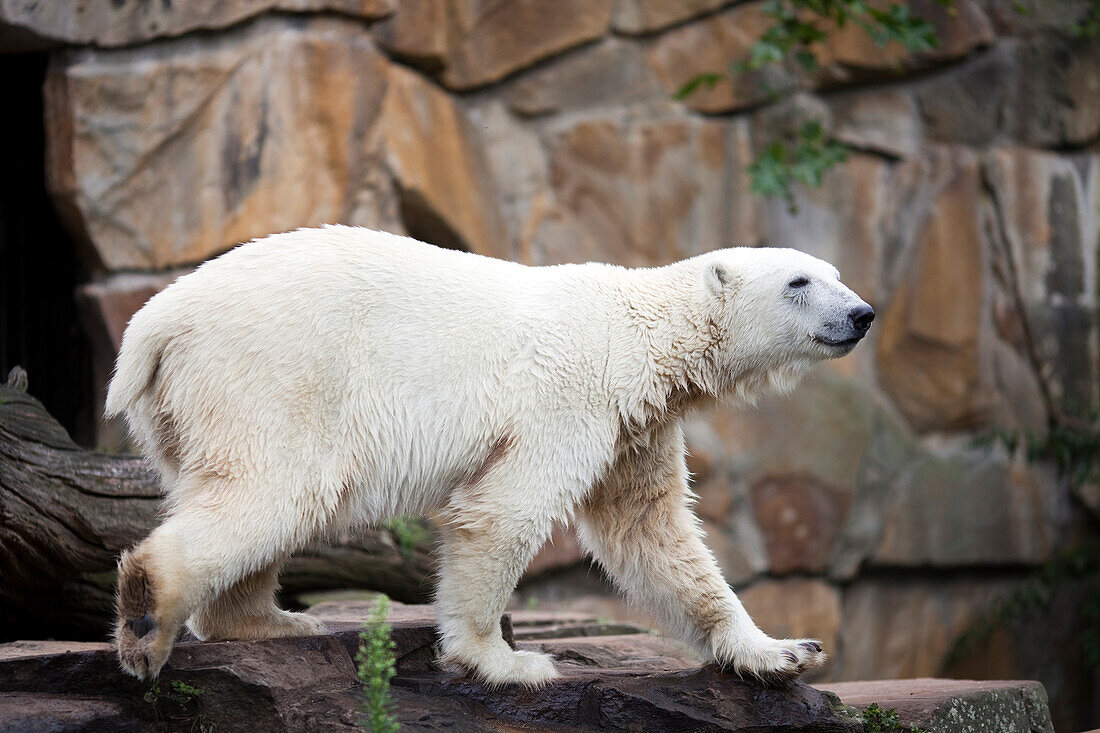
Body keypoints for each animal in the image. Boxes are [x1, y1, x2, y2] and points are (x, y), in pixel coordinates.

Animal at [105, 224, 875, 686]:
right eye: (799, 282)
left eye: (835, 272)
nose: (863, 313)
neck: (641, 330)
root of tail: (153, 323)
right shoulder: (573, 394)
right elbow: (505, 510)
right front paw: (505, 659)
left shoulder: (638, 426)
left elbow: (652, 531)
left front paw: (783, 650)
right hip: (273, 372)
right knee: (276, 489)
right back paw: (147, 621)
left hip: (189, 407)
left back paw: (272, 619)